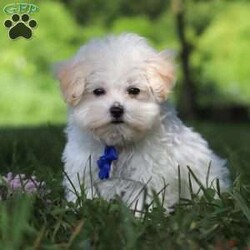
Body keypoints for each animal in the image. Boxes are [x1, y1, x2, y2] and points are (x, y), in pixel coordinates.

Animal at [55, 32, 229, 211]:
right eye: (98, 91)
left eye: (134, 90)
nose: (116, 110)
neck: (120, 143)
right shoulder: (85, 169)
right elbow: (86, 192)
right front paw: (80, 209)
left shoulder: (149, 173)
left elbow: (143, 197)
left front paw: (139, 215)